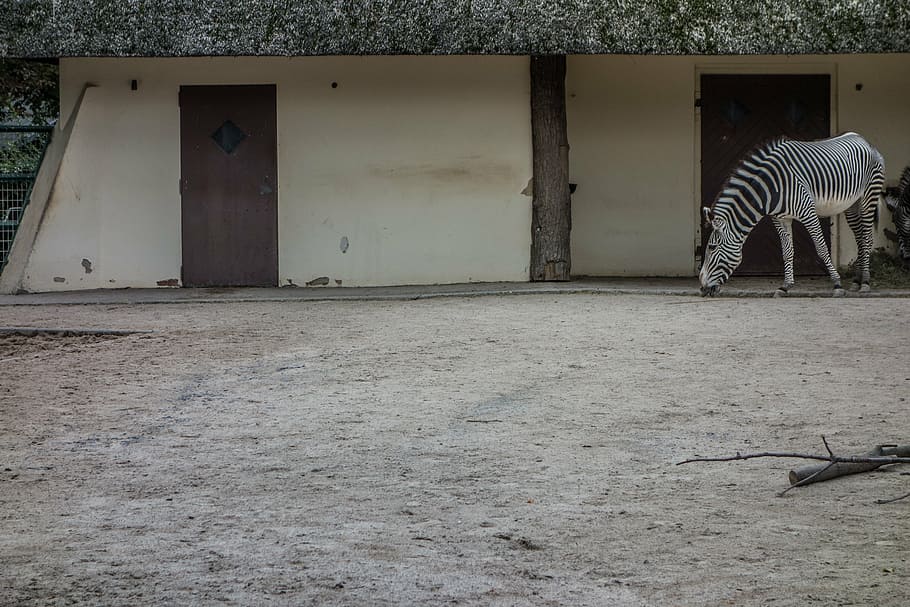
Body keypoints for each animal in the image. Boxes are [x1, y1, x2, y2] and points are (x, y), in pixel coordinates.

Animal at [699, 132, 885, 297]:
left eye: (711, 247)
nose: (701, 289)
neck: (771, 188)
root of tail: (864, 140)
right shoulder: (780, 218)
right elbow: (787, 251)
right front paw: (785, 286)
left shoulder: (808, 212)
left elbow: (822, 248)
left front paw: (837, 284)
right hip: (852, 205)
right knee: (860, 239)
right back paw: (856, 281)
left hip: (869, 196)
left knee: (867, 239)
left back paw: (865, 283)